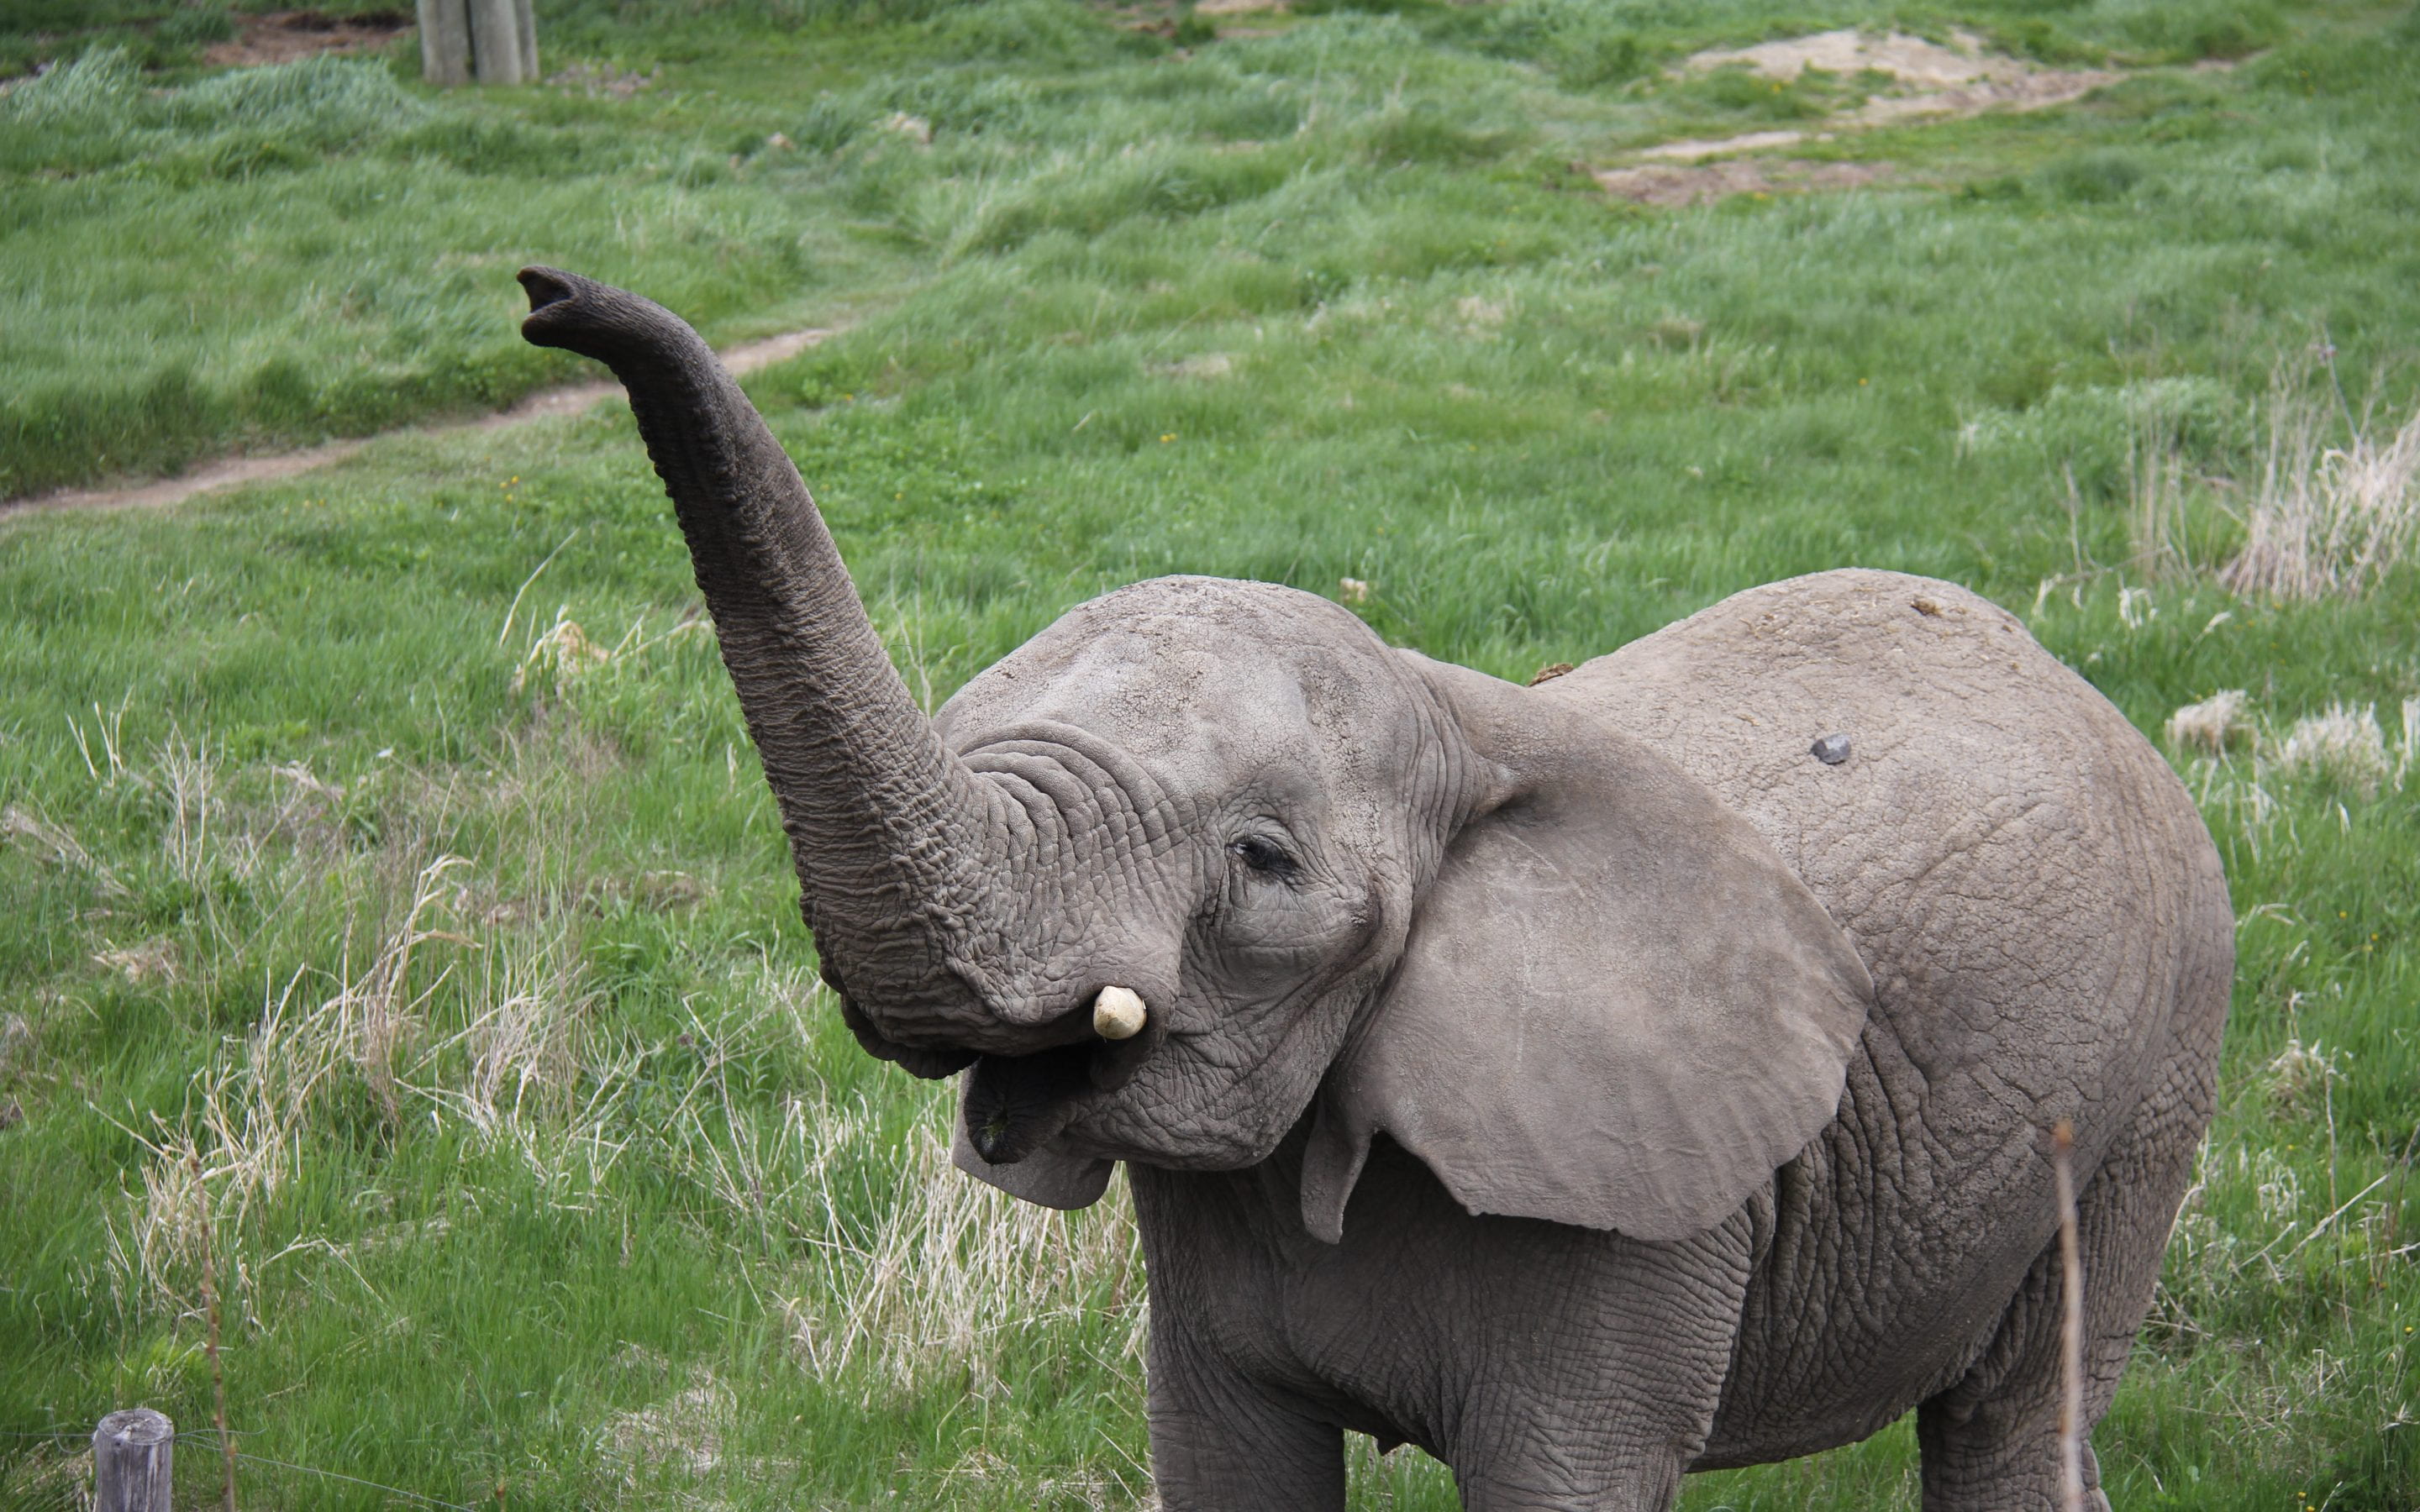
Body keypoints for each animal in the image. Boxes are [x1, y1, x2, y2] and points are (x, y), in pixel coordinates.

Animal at [515, 267, 2232, 1511]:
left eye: (1263, 863)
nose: (546, 293)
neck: (1461, 720)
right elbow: (1226, 1464)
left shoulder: (1630, 1212)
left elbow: (1563, 1481)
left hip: (2158, 1070)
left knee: (2018, 1406)